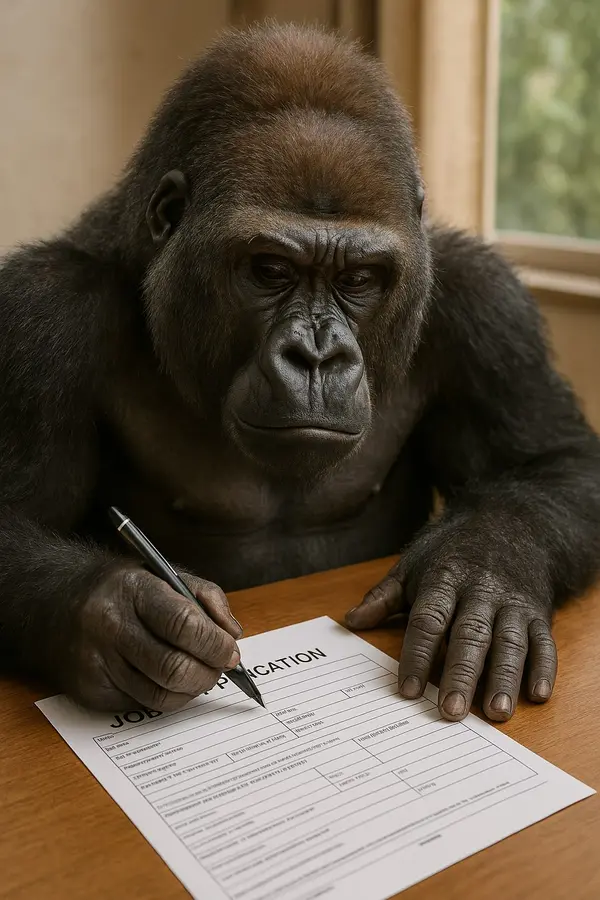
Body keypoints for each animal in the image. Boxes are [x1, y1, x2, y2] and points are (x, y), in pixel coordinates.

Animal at [1, 23, 599, 725]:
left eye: (359, 279)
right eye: (270, 270)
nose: (316, 357)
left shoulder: (488, 306)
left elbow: (556, 462)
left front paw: (483, 570)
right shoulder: (41, 317)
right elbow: (16, 516)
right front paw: (112, 612)